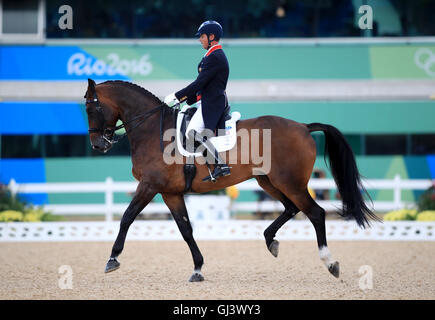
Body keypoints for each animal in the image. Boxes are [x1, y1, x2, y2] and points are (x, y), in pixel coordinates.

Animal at [83, 79, 380, 282]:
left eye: (91, 107)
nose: (98, 145)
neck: (152, 129)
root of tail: (303, 127)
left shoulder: (149, 186)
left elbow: (126, 217)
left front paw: (112, 259)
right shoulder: (170, 193)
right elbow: (185, 229)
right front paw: (198, 268)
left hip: (290, 183)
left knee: (315, 213)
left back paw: (330, 262)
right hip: (269, 182)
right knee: (291, 208)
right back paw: (271, 241)